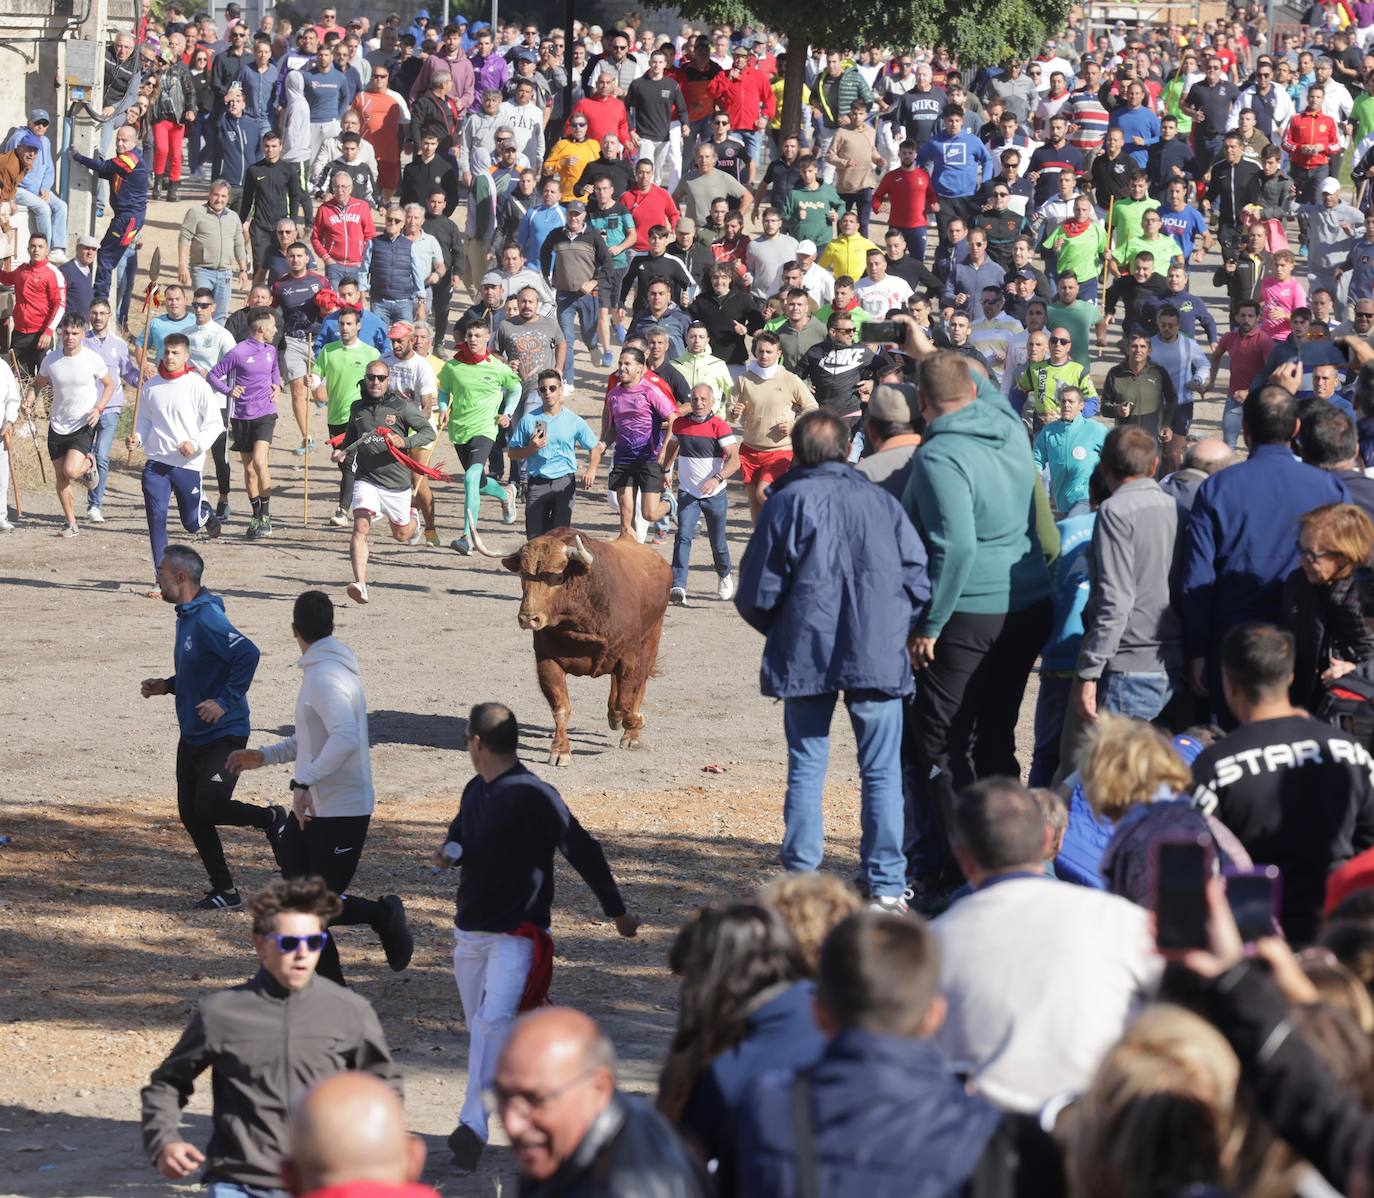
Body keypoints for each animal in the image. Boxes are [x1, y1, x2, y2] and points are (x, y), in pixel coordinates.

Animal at [505, 527, 676, 769]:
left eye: (557, 576)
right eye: (522, 574)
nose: (528, 618)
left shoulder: (629, 659)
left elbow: (626, 702)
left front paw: (636, 721)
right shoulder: (546, 662)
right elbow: (561, 708)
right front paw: (560, 751)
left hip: (652, 636)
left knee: (639, 684)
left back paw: (630, 736)